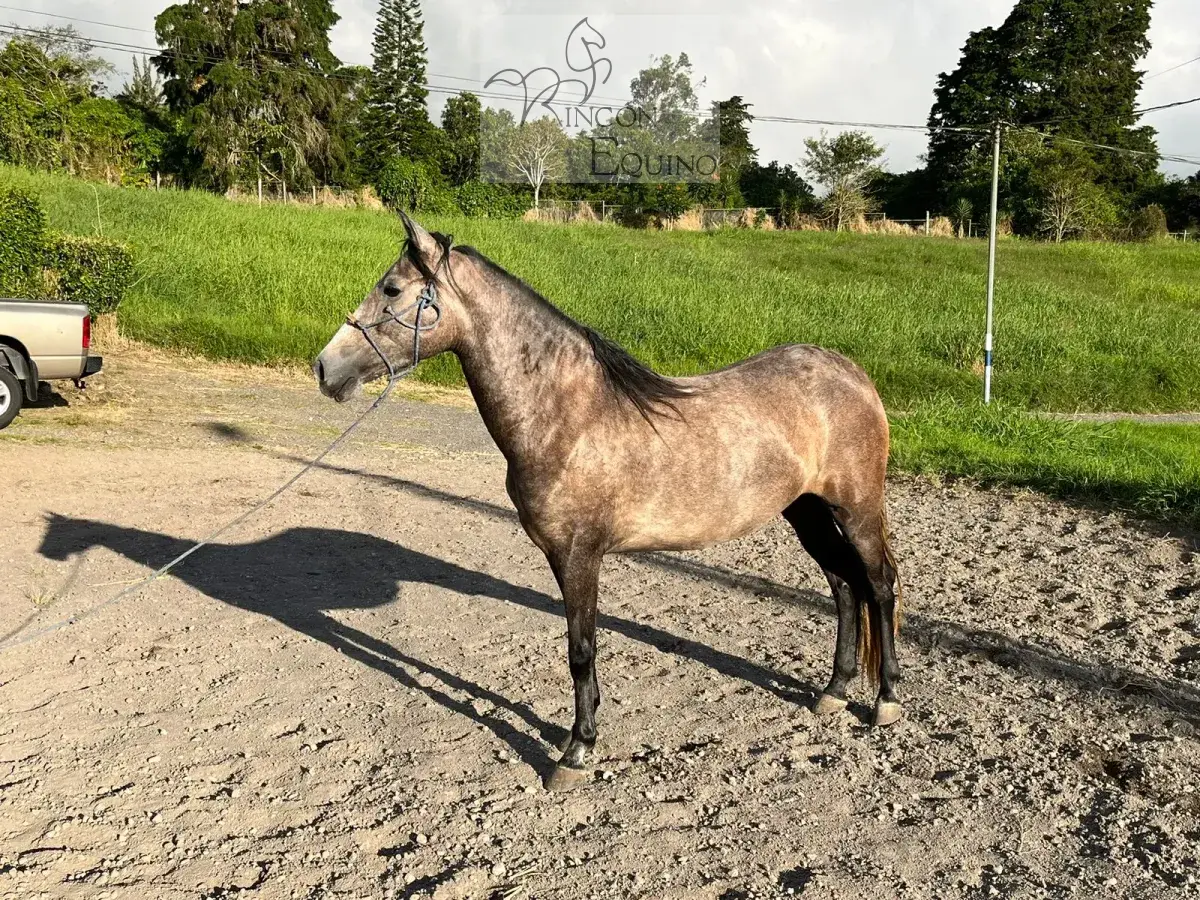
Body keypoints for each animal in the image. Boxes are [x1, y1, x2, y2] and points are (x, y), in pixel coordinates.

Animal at [314, 213, 903, 790]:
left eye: (392, 289)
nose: (325, 369)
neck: (566, 415)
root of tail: (850, 372)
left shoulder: (579, 555)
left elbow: (581, 650)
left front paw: (576, 751)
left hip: (856, 509)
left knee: (877, 584)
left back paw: (885, 700)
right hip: (806, 510)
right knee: (842, 583)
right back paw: (834, 690)